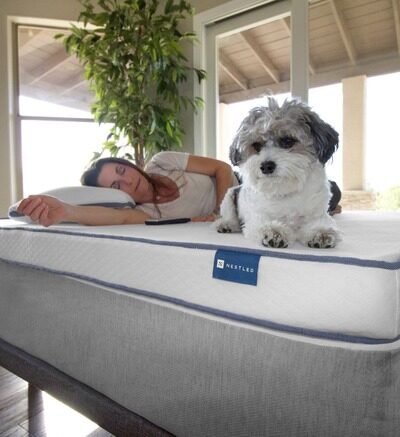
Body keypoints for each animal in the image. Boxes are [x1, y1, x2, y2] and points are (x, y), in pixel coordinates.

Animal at [216, 98, 340, 249]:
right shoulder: (256, 217)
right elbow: (264, 224)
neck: (285, 191)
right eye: (256, 145)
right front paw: (274, 231)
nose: (266, 166)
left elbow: (319, 224)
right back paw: (226, 224)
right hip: (228, 198)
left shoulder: (318, 213)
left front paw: (320, 233)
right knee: (230, 217)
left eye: (288, 141)